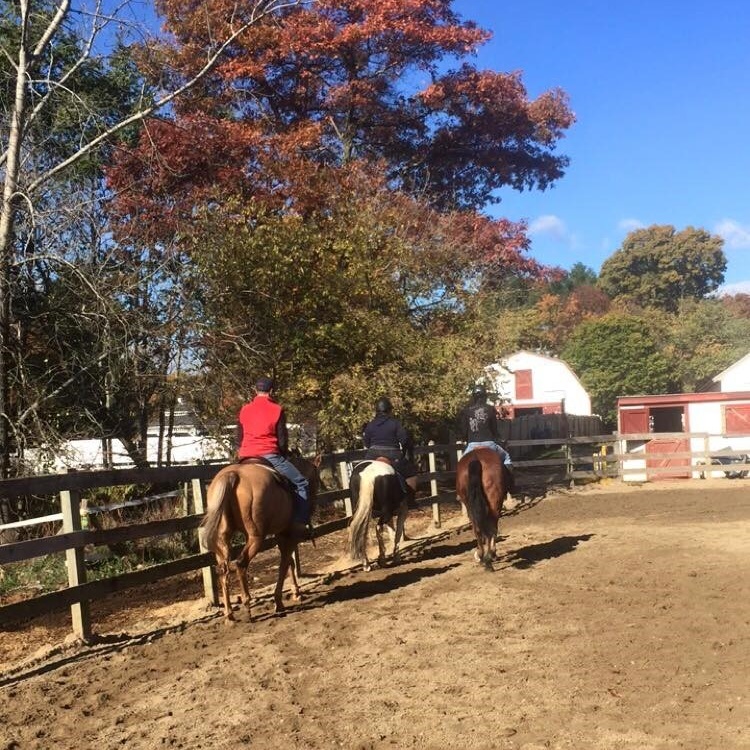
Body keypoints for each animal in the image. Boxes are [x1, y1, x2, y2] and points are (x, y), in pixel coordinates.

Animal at [200, 452, 318, 624]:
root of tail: (233, 474)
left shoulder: (281, 535)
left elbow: (289, 562)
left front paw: (295, 593)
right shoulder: (288, 535)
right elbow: (285, 563)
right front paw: (280, 601)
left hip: (222, 538)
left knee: (223, 569)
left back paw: (229, 615)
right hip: (256, 537)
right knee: (241, 563)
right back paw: (247, 607)